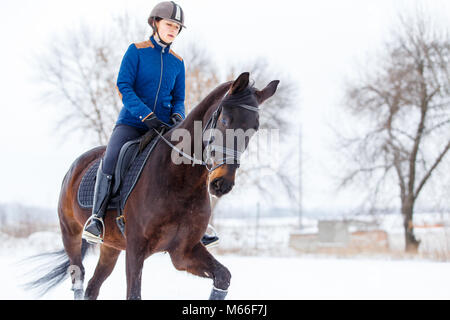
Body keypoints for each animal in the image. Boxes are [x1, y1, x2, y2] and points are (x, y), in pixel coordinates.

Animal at [26, 71, 280, 298]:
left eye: (254, 128)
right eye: (225, 120)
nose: (222, 183)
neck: (180, 180)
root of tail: (76, 165)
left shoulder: (183, 251)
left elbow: (223, 277)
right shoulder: (136, 250)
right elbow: (134, 294)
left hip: (111, 247)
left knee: (92, 287)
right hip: (70, 233)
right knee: (78, 278)